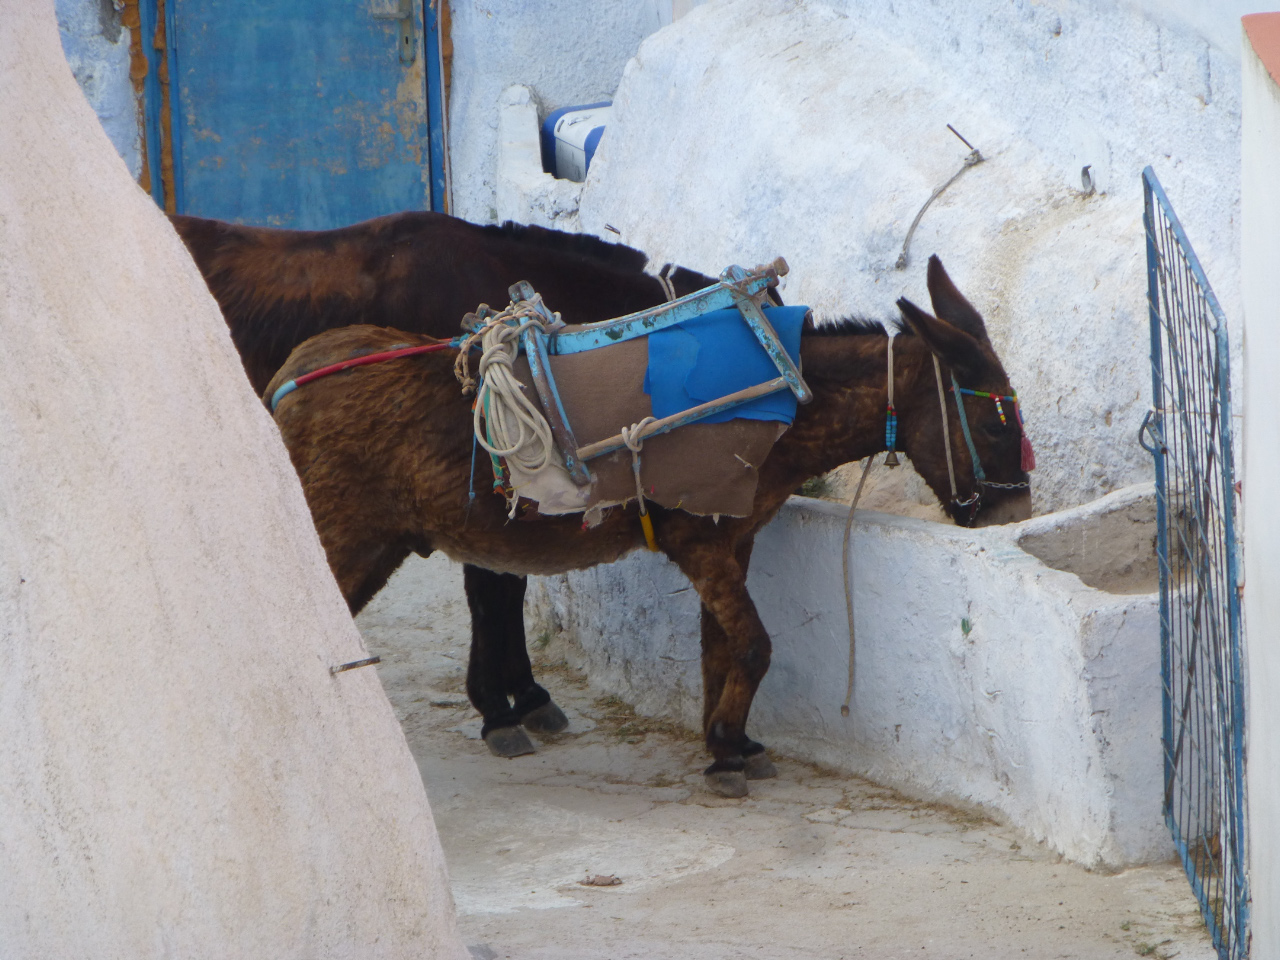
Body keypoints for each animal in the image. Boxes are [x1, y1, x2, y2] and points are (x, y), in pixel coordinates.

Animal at [264, 256, 1033, 798]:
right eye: (998, 425)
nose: (1016, 518)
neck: (783, 394)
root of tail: (289, 378)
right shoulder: (701, 542)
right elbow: (753, 644)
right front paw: (726, 751)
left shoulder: (734, 539)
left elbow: (718, 647)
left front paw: (730, 745)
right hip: (343, 536)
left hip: (372, 542)